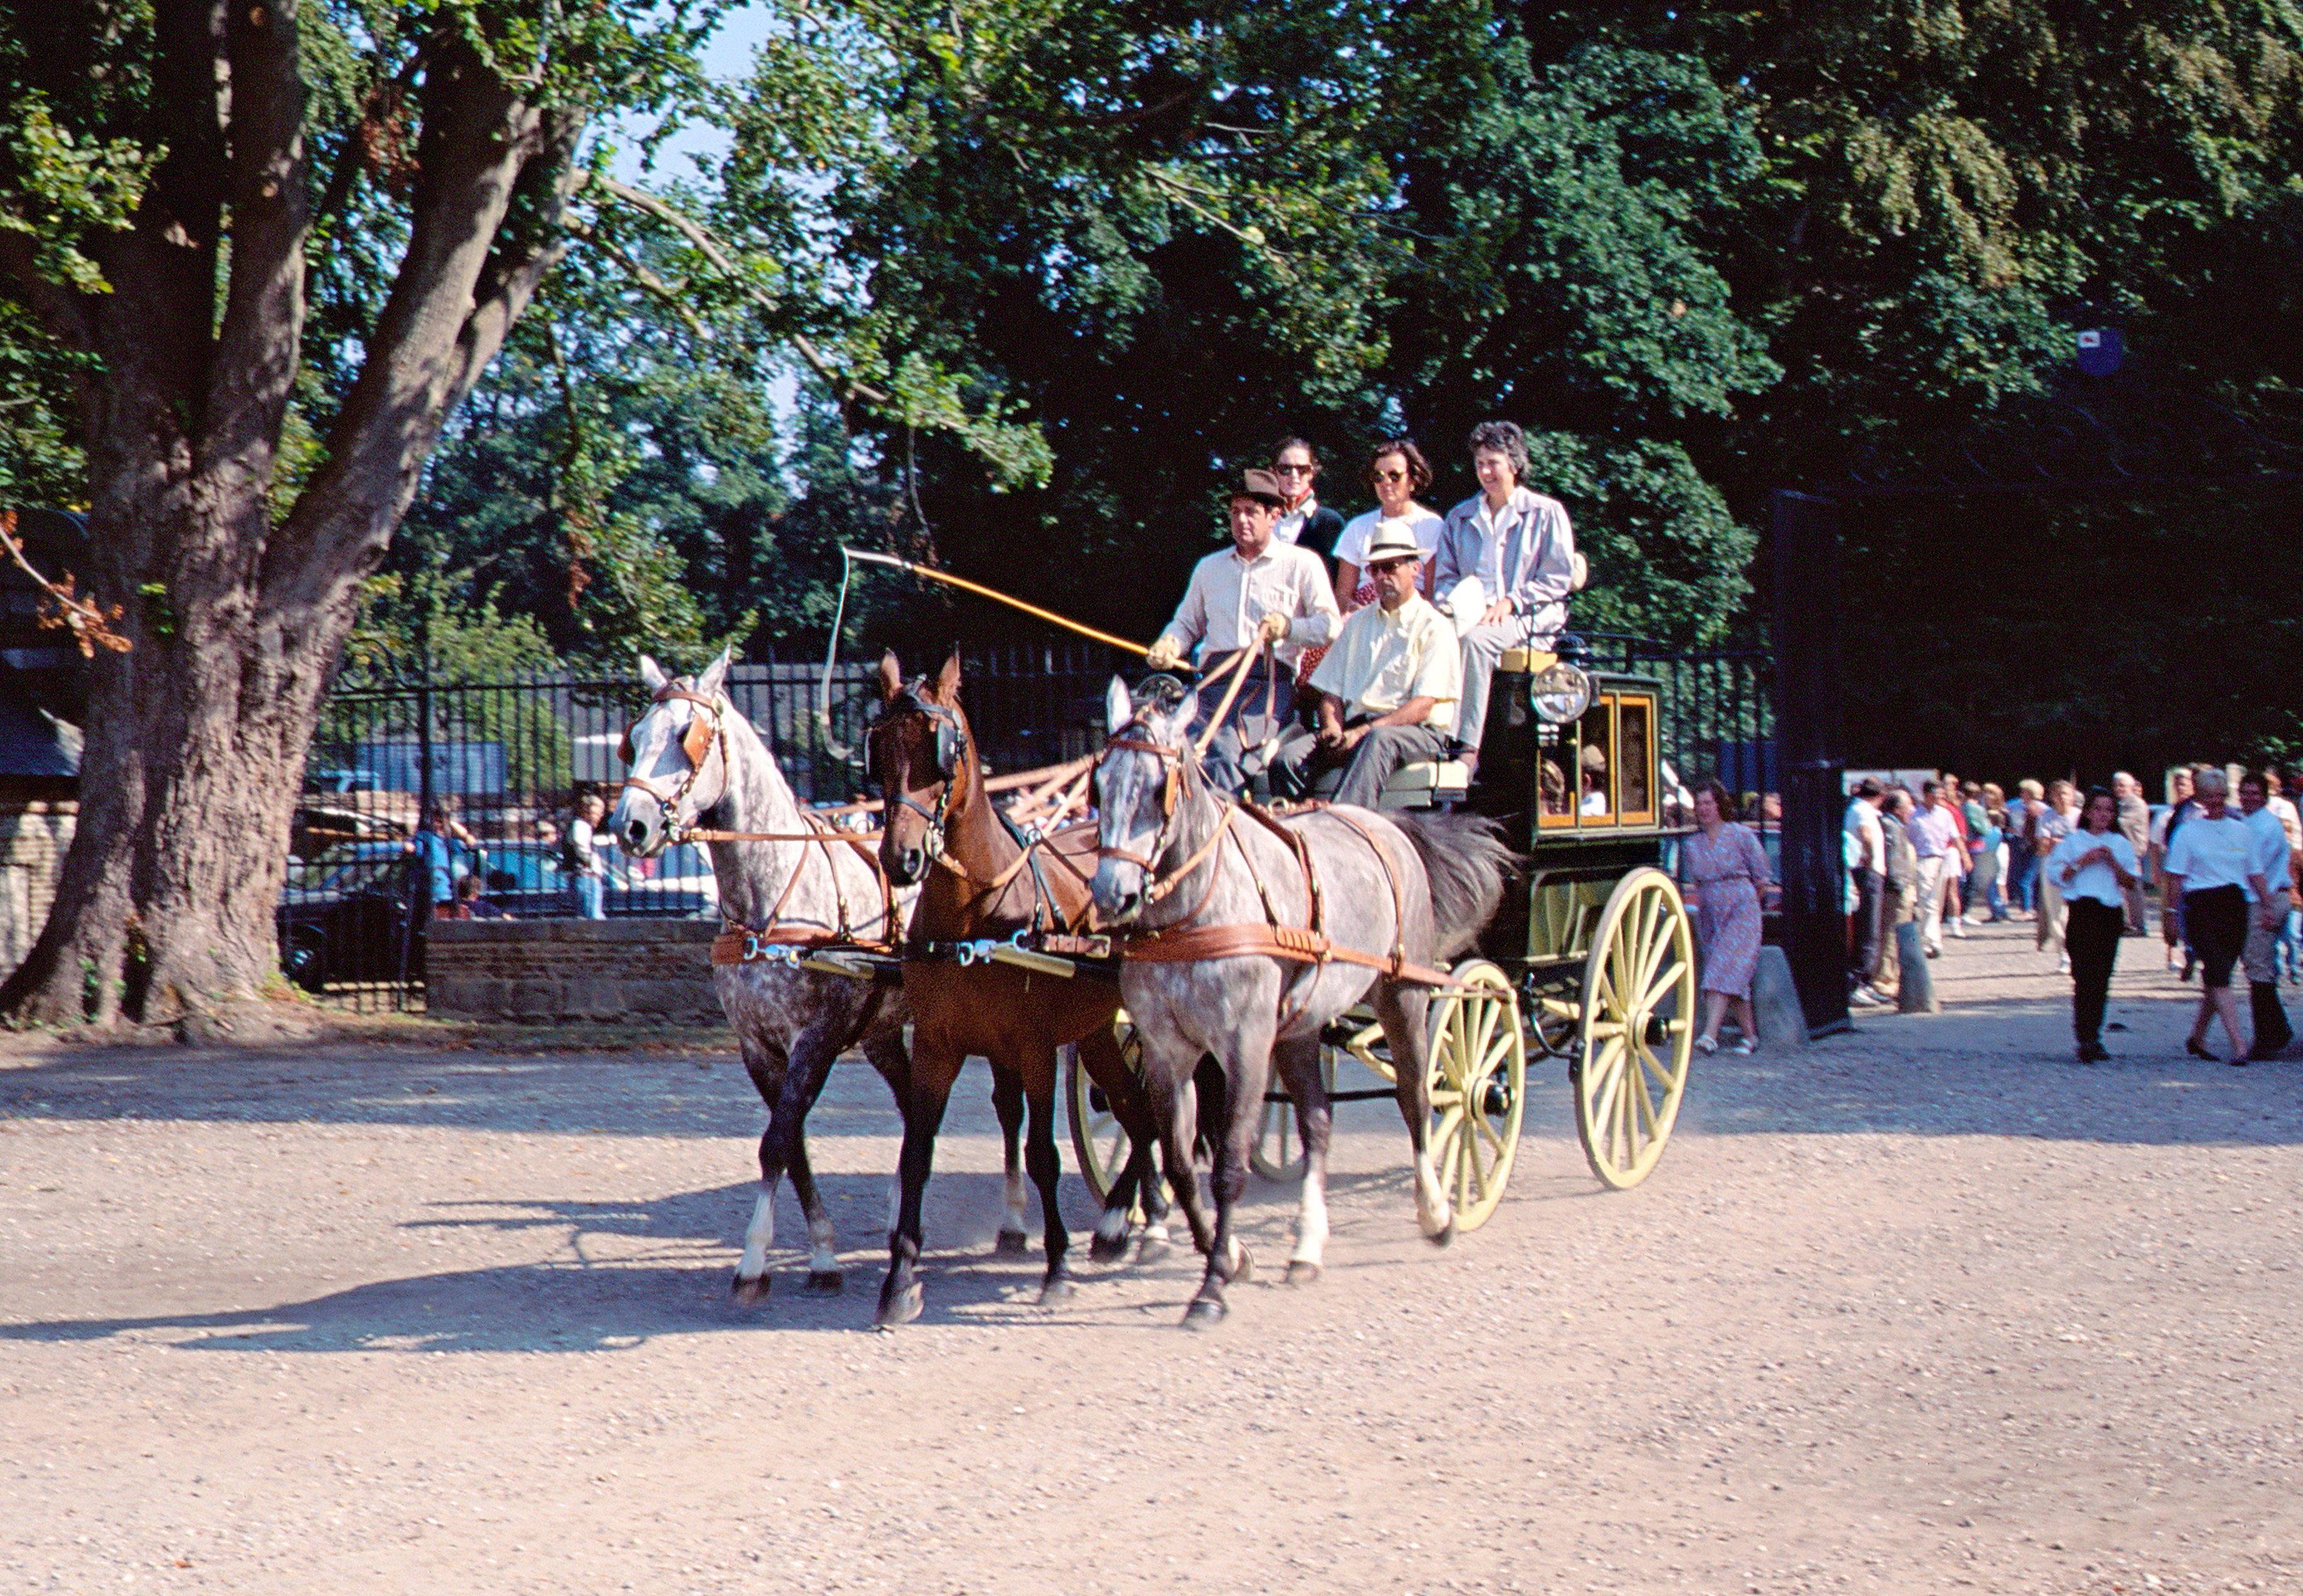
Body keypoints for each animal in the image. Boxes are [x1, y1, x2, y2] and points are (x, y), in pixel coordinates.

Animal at [612, 654, 1046, 1298]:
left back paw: (1016, 1220)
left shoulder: (815, 1038)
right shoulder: (758, 1047)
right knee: (914, 1109)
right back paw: (901, 1213)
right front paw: (821, 1251)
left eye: (688, 736)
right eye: (636, 737)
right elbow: (791, 1143)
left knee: (1008, 1105)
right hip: (883, 1031)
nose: (630, 826)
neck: (770, 901)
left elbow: (777, 1142)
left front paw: (754, 1260)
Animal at [861, 654, 1197, 1326]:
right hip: (1098, 1032)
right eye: (878, 750)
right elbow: (916, 1153)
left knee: (1152, 1109)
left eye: (942, 752)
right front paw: (901, 1278)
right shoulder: (936, 1046)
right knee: (1136, 1110)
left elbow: (1044, 1154)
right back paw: (1123, 1222)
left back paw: (1133, 1221)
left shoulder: (1033, 1048)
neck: (973, 916)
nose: (901, 858)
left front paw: (1057, 1267)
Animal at [1091, 677, 1520, 1326]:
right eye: (1100, 782)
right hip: (1299, 1028)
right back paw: (1306, 1247)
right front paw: (1230, 1254)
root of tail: (1384, 822)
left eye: (1158, 788)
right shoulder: (1168, 1051)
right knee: (1317, 1122)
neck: (1197, 911)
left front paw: (1212, 1286)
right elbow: (1182, 1163)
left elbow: (1230, 1165)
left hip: (1403, 996)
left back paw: (1436, 1213)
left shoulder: (1243, 1045)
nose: (1110, 893)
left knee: (1417, 1100)